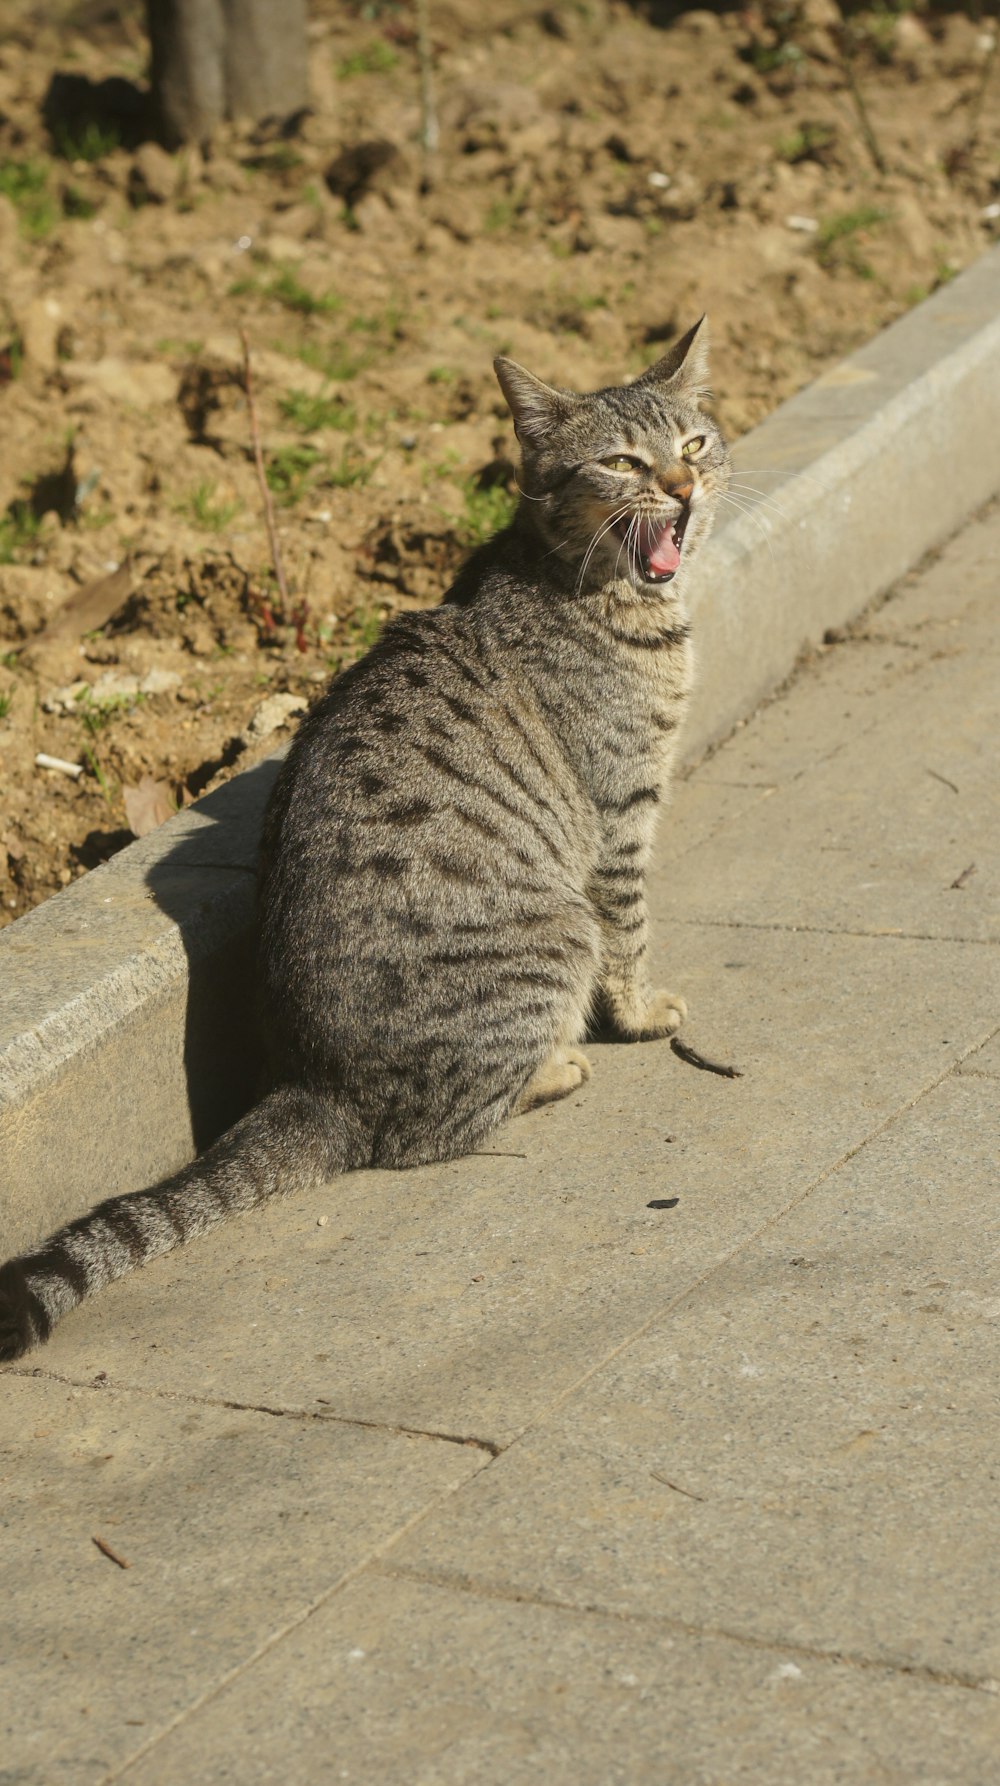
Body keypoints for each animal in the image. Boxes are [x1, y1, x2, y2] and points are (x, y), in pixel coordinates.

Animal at [0, 317, 725, 1350]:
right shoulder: (620, 814)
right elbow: (631, 933)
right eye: (624, 461)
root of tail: (318, 1086)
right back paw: (556, 1067)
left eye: (694, 444)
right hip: (555, 933)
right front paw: (640, 1012)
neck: (599, 590)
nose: (684, 486)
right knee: (432, 1133)